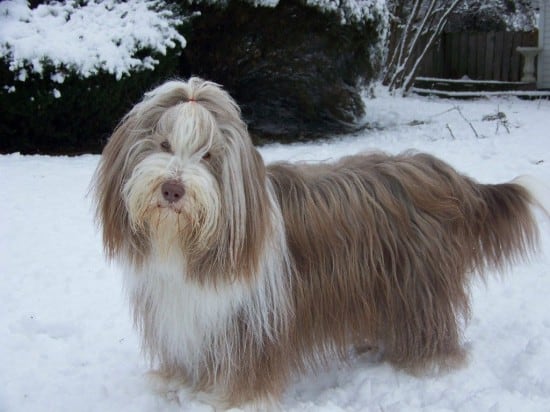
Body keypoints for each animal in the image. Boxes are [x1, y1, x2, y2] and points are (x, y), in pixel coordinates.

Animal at [94, 77, 544, 408]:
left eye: (208, 155)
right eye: (163, 144)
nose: (172, 189)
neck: (185, 243)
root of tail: (438, 172)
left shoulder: (249, 323)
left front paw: (228, 398)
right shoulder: (188, 315)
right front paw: (178, 384)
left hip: (418, 285)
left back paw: (427, 362)